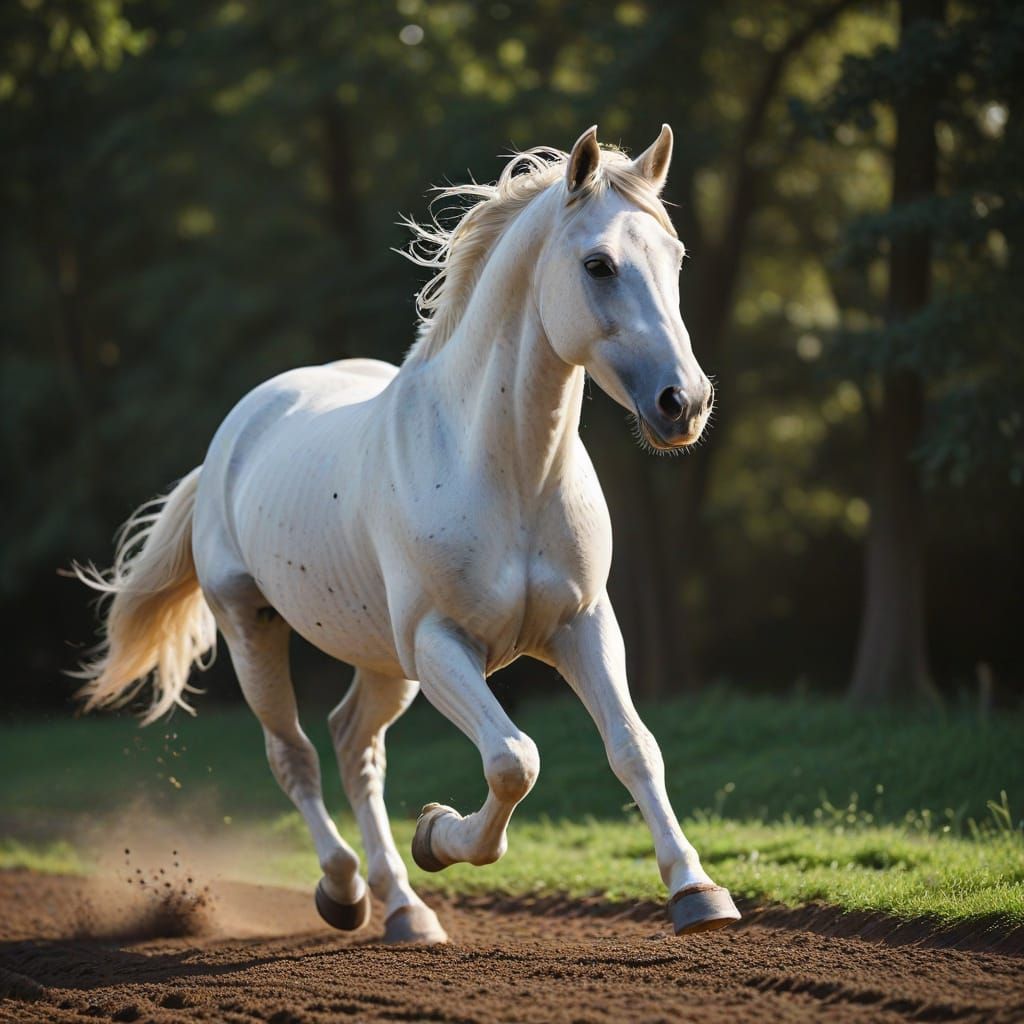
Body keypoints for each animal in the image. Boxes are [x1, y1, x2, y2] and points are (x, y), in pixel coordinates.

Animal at [73, 124, 739, 944]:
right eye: (599, 264)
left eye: (674, 257)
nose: (685, 403)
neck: (505, 473)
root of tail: (234, 434)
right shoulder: (441, 643)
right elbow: (514, 760)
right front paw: (439, 835)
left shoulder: (583, 624)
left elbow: (634, 748)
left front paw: (697, 892)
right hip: (254, 628)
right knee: (295, 755)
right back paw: (347, 891)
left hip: (382, 659)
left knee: (353, 744)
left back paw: (405, 907)